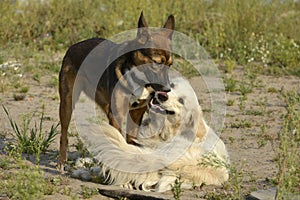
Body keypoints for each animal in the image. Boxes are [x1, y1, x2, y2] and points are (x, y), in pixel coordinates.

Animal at [58, 11, 175, 170]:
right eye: (157, 63)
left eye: (170, 64)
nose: (167, 89)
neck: (137, 78)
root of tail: (72, 47)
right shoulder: (117, 115)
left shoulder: (136, 114)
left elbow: (130, 141)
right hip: (67, 103)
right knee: (63, 134)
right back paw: (62, 161)